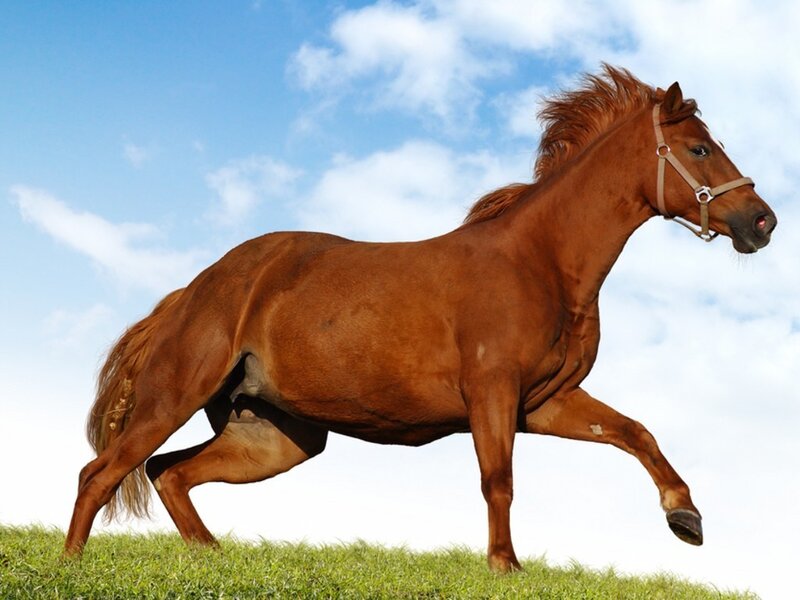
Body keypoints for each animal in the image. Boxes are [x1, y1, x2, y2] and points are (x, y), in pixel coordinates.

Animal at [64, 66, 776, 571]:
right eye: (699, 149)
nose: (762, 222)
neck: (539, 261)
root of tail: (194, 290)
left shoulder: (544, 402)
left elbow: (636, 433)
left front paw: (686, 518)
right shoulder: (492, 394)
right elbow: (498, 481)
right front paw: (505, 566)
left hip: (274, 436)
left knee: (169, 472)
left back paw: (211, 556)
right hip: (174, 397)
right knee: (102, 473)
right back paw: (72, 565)